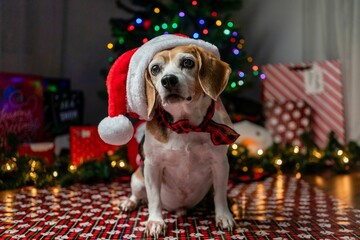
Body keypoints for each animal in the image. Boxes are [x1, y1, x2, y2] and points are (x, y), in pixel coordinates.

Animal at [121, 44, 239, 236]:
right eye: (155, 69)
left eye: (188, 62)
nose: (168, 80)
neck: (186, 127)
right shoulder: (152, 166)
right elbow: (154, 198)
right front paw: (155, 221)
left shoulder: (220, 164)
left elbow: (220, 195)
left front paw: (224, 216)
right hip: (137, 178)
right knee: (139, 195)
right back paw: (129, 202)